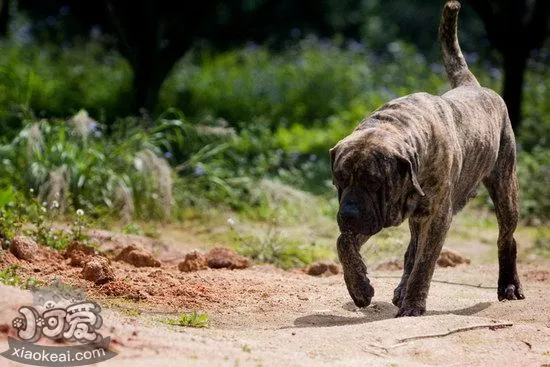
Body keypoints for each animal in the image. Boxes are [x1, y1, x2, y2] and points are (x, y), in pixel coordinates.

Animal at [330, 0, 528, 318]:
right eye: (339, 180)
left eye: (374, 182)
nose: (347, 214)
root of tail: (474, 86)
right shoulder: (377, 215)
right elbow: (344, 242)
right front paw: (359, 287)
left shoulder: (436, 215)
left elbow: (425, 262)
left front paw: (413, 304)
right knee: (411, 248)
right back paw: (399, 288)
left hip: (505, 187)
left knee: (506, 237)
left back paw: (508, 285)